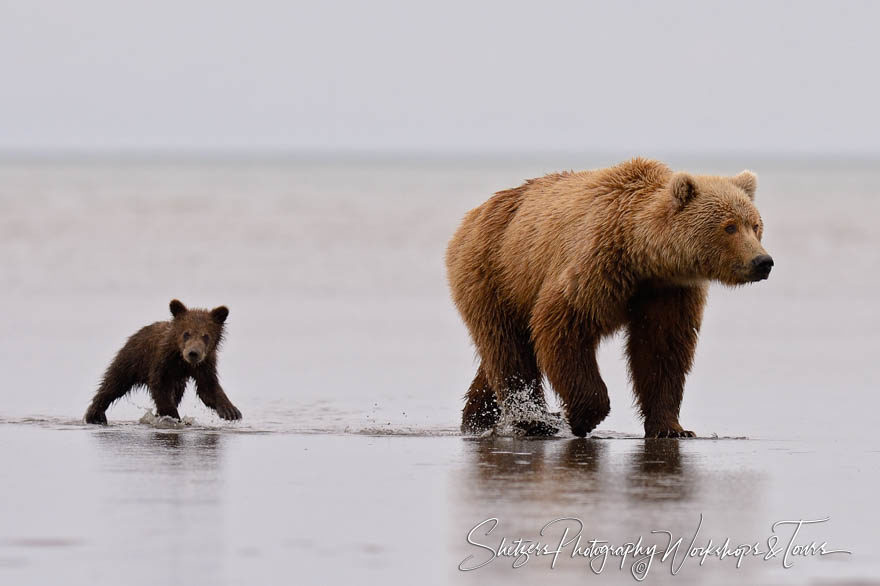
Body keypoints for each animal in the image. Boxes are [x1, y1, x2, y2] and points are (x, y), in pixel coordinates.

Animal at [446, 157, 768, 436]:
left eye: (755, 225)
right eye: (729, 226)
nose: (763, 262)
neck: (643, 255)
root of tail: (473, 215)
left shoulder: (668, 290)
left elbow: (662, 349)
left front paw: (672, 427)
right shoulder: (596, 266)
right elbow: (563, 326)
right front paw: (580, 417)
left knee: (499, 356)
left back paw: (476, 418)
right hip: (495, 270)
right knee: (508, 349)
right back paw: (532, 420)